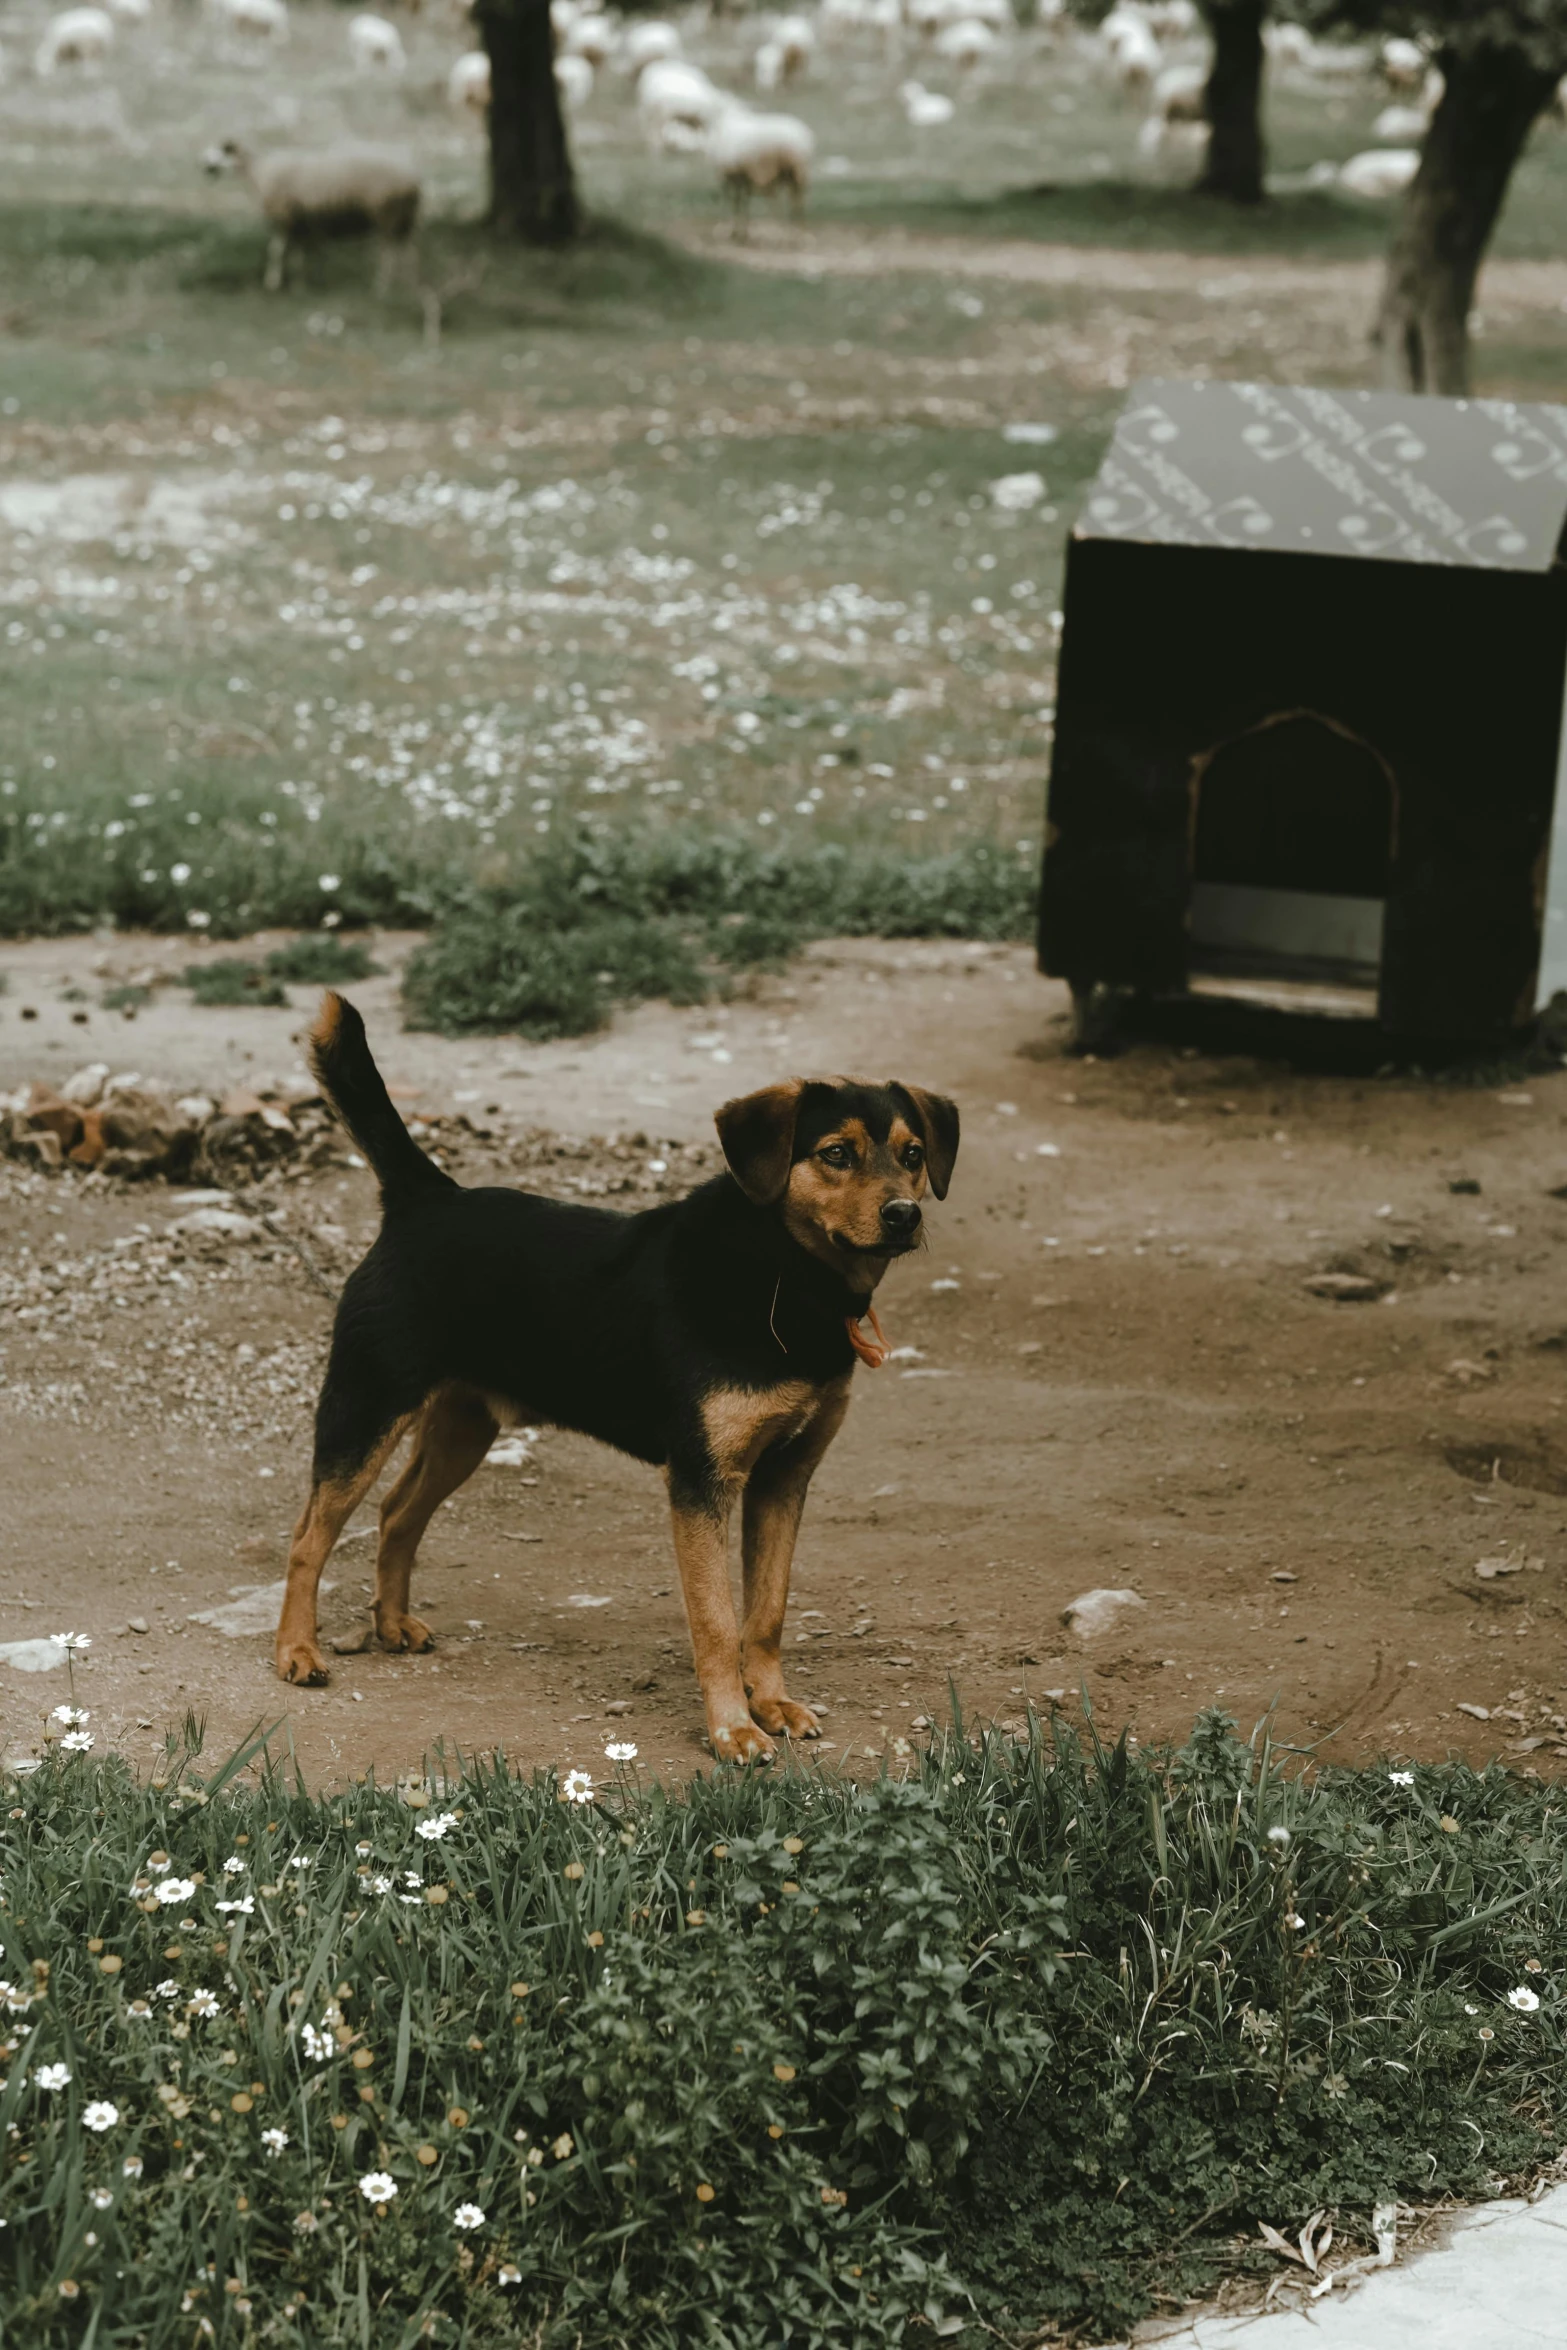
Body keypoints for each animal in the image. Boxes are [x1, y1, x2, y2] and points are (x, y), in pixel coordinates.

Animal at [202, 139, 422, 296]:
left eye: (223, 150)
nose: (204, 166)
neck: (259, 172)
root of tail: (412, 182)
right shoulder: (301, 223)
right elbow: (299, 253)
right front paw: (301, 284)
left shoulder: (285, 219)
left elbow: (276, 251)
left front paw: (273, 283)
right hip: (405, 220)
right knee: (409, 252)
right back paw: (408, 286)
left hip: (387, 217)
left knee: (389, 254)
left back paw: (382, 287)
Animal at [272, 991, 958, 1767]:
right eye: (835, 1154)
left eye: (912, 1155)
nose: (904, 1215)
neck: (783, 1275)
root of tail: (426, 1198)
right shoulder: (701, 1481)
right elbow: (717, 1622)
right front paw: (732, 1729)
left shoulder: (784, 1479)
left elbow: (767, 1613)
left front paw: (772, 1703)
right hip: (366, 1408)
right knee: (308, 1536)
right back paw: (297, 1651)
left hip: (462, 1428)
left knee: (396, 1513)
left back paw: (390, 1623)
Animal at [709, 102, 817, 239]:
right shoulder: (742, 177)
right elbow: (742, 201)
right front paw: (741, 231)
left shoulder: (735, 176)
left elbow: (737, 201)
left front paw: (734, 230)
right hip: (796, 174)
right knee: (796, 202)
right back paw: (795, 231)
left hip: (782, 172)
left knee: (783, 203)